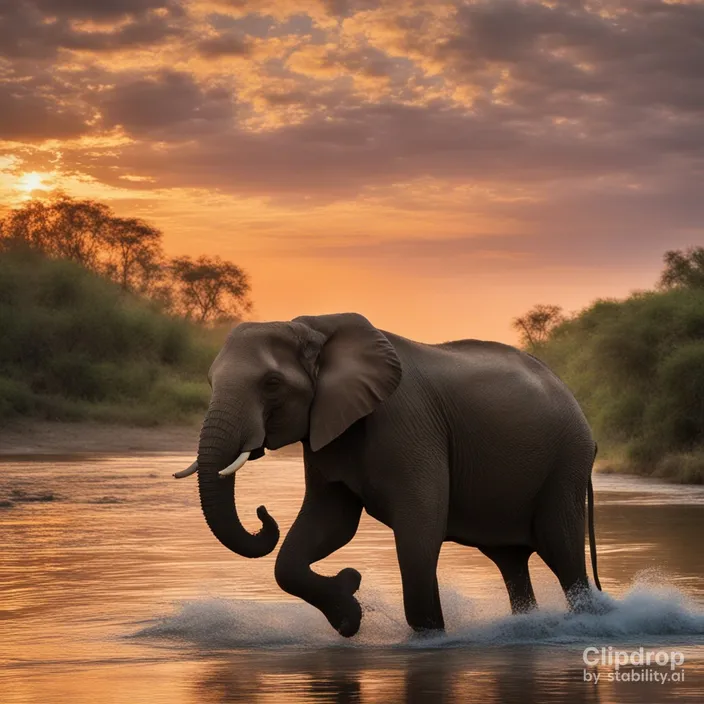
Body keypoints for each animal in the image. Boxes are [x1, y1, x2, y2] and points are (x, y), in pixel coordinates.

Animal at [175, 314, 600, 640]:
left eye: (272, 384)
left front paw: (427, 638)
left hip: (567, 462)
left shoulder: (409, 425)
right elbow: (327, 526)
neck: (314, 328)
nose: (263, 513)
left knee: (562, 549)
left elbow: (420, 526)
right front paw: (349, 610)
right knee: (511, 561)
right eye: (210, 382)